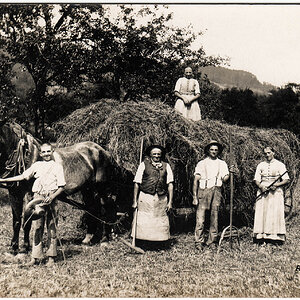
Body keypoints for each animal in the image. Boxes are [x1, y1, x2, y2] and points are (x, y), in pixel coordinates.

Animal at [0, 119, 116, 253]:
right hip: (87, 188)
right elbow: (16, 221)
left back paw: (105, 239)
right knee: (92, 207)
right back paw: (87, 239)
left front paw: (25, 247)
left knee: (106, 208)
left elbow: (27, 221)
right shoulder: (14, 194)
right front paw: (14, 247)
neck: (25, 156)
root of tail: (103, 151)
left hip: (102, 187)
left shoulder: (29, 194)